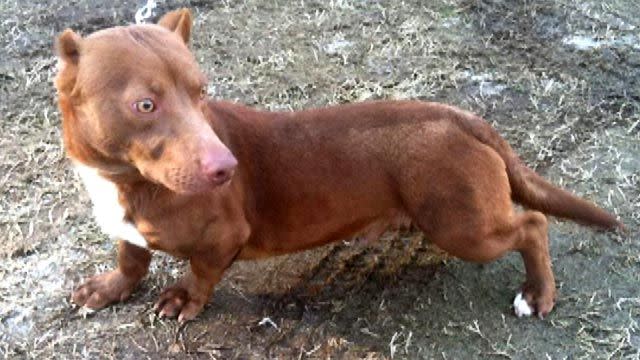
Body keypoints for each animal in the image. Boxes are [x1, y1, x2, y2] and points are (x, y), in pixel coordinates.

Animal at [56, 9, 620, 322]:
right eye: (144, 105)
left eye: (201, 91)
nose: (225, 168)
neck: (123, 182)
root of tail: (462, 117)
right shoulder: (127, 230)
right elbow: (132, 258)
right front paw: (109, 287)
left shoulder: (223, 238)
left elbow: (200, 274)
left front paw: (183, 301)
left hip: (464, 226)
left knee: (533, 223)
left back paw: (538, 294)